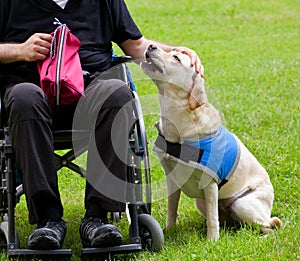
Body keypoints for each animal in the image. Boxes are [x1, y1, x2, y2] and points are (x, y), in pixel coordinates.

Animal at [141, 44, 282, 240]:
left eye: (176, 58)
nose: (151, 45)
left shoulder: (209, 183)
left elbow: (213, 220)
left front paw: (212, 240)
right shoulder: (172, 179)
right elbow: (172, 208)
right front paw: (169, 230)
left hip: (241, 204)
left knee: (269, 225)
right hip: (201, 202)